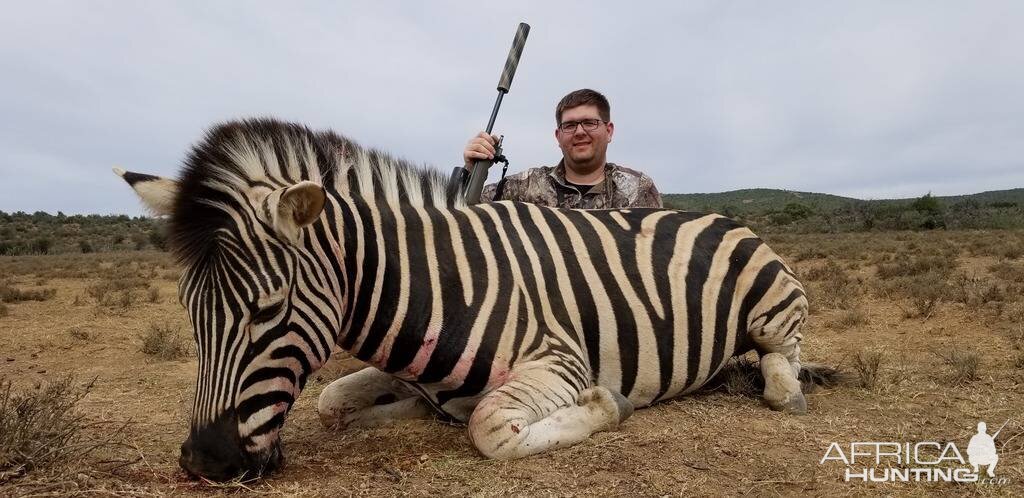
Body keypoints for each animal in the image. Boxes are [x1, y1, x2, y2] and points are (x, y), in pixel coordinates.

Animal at [116, 117, 831, 481]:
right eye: (190, 314)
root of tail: (721, 215)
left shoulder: (558, 360)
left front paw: (606, 404)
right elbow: (330, 401)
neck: (438, 289)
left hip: (774, 304)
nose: (204, 463)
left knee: (782, 361)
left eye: (267, 309)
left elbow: (492, 427)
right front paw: (396, 413)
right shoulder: (404, 370)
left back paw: (785, 386)